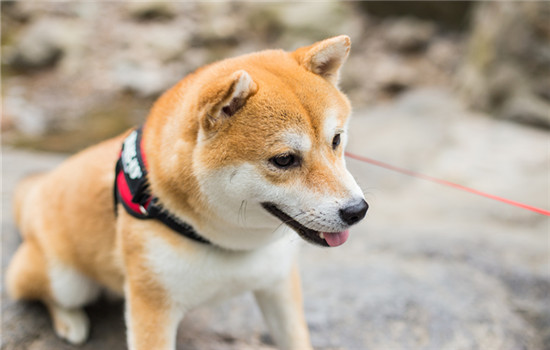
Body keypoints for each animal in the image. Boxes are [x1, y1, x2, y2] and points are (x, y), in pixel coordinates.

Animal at [6, 36, 368, 350]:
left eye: (336, 140)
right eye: (283, 160)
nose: (357, 210)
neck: (228, 244)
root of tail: (39, 190)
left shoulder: (278, 284)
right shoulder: (152, 307)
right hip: (65, 280)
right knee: (33, 288)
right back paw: (70, 321)